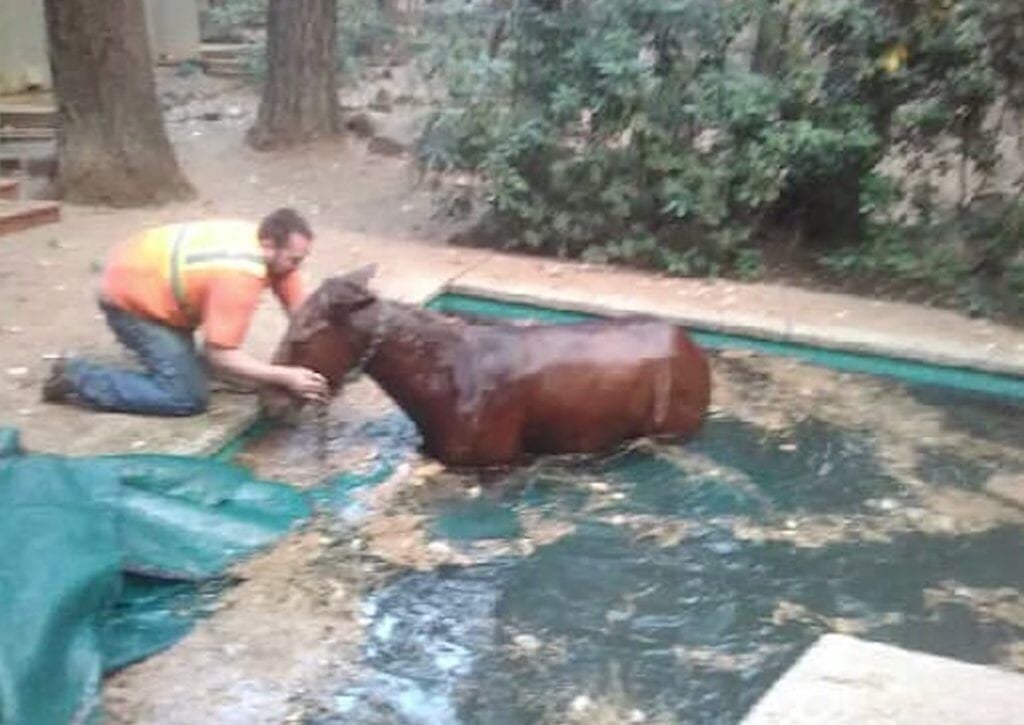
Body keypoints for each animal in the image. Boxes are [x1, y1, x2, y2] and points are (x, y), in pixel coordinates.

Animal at [262, 266, 712, 467]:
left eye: (301, 334)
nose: (269, 396)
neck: (432, 389)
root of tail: (695, 351)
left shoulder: (495, 461)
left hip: (674, 427)